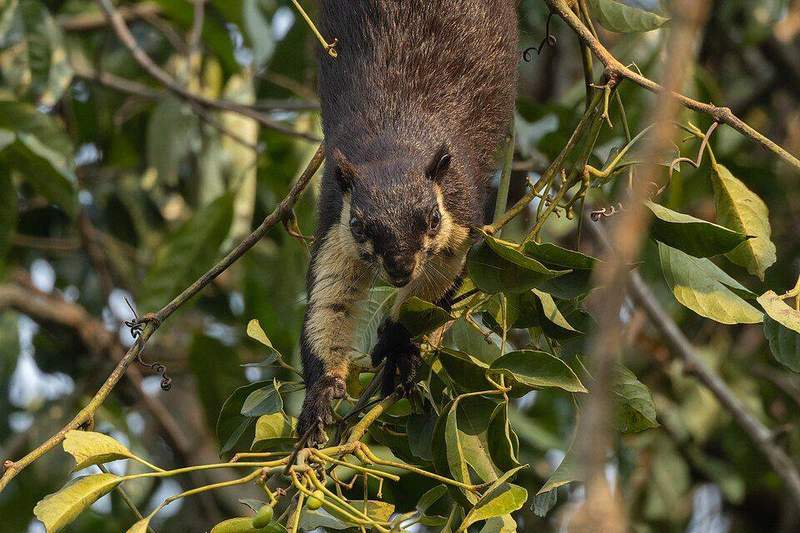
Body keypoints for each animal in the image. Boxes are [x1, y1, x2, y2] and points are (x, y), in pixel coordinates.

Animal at [297, 0, 518, 446]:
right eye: (360, 226)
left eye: (433, 219)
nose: (400, 267)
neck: (391, 140)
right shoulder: (333, 221)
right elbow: (330, 301)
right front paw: (320, 397)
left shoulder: (461, 217)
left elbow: (434, 288)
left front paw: (397, 346)